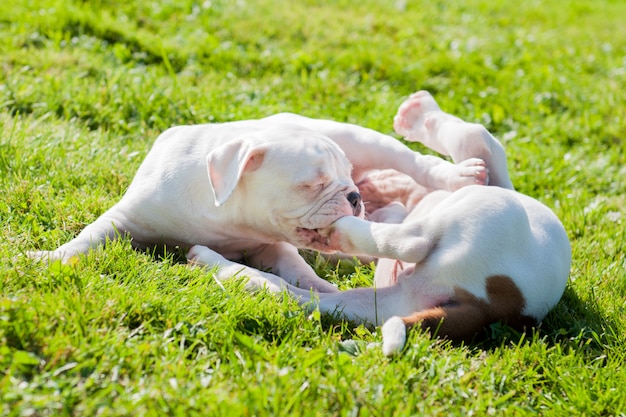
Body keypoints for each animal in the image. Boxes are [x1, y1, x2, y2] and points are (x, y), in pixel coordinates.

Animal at [29, 111, 486, 292]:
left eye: (345, 176)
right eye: (312, 184)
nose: (354, 195)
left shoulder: (273, 245)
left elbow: (298, 267)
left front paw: (322, 289)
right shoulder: (127, 217)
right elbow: (89, 237)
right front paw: (48, 258)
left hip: (363, 138)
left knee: (413, 161)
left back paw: (462, 175)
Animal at [290, 92, 568, 354]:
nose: (359, 192)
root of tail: (487, 312)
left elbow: (474, 135)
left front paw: (418, 114)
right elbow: (478, 137)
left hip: (487, 211)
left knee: (413, 243)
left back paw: (337, 228)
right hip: (391, 303)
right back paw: (276, 286)